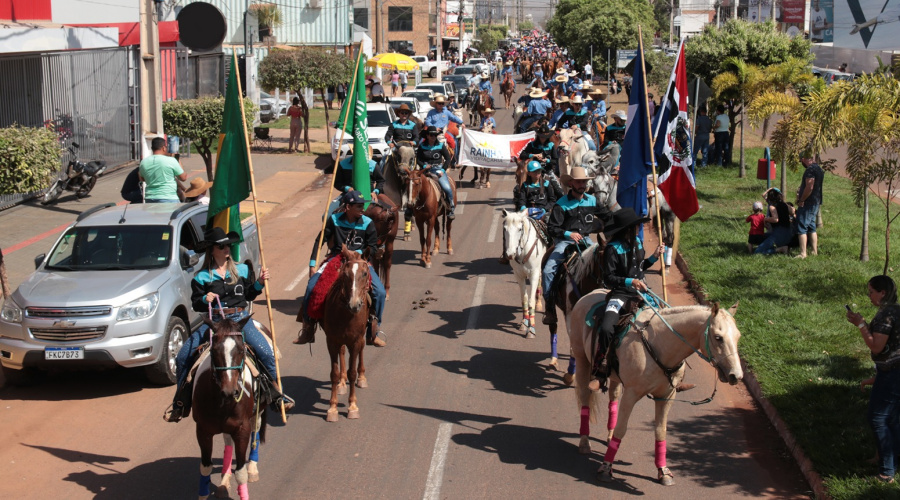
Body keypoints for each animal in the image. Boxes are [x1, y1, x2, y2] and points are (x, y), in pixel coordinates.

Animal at [192, 316, 268, 500]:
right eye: (214, 351)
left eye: (241, 350)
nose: (229, 391)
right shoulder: (202, 430)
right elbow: (205, 467)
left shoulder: (242, 429)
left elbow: (241, 473)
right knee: (227, 441)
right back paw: (224, 479)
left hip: (258, 412)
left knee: (256, 431)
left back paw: (252, 468)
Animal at [322, 246, 370, 422]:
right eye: (345, 275)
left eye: (365, 273)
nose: (354, 305)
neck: (345, 315)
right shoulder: (331, 341)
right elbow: (334, 373)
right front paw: (332, 408)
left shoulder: (355, 341)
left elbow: (352, 372)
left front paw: (352, 406)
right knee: (342, 352)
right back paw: (342, 384)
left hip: (361, 336)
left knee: (362, 348)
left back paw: (362, 378)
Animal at [500, 207, 548, 340]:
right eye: (504, 229)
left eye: (520, 229)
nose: (510, 254)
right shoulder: (519, 275)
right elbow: (524, 298)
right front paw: (524, 323)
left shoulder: (534, 274)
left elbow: (531, 301)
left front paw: (531, 329)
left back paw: (539, 303)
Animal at [568, 292, 740, 486]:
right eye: (718, 337)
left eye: (738, 337)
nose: (736, 375)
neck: (659, 344)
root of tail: (588, 295)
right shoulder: (631, 394)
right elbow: (622, 429)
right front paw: (605, 468)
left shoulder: (666, 396)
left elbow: (660, 430)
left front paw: (663, 471)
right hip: (582, 359)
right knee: (584, 396)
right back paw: (584, 443)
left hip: (615, 377)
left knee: (613, 397)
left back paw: (608, 436)